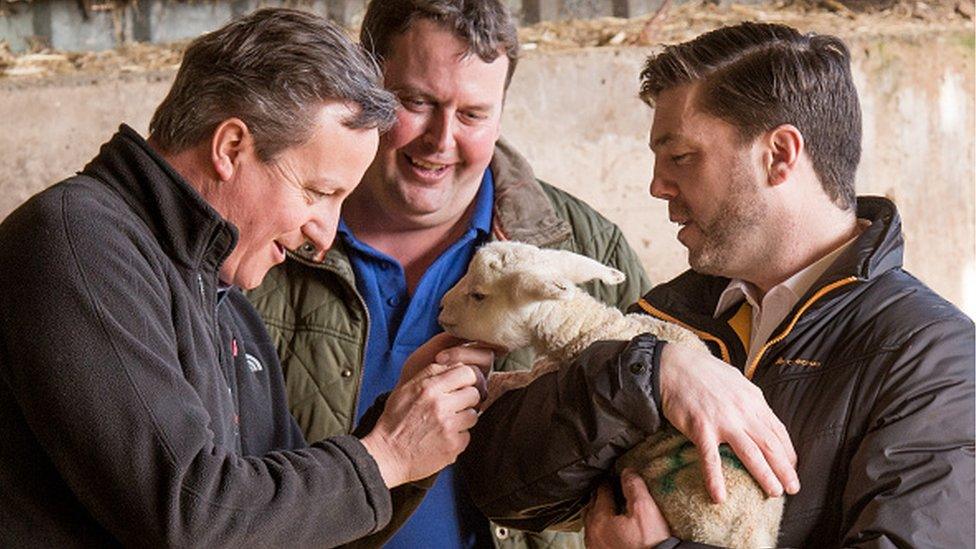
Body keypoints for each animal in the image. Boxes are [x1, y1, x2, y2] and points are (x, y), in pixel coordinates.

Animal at [440, 240, 784, 548]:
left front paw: (486, 388)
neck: (587, 327)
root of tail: (747, 537)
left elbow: (517, 380)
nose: (441, 308)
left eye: (478, 295)